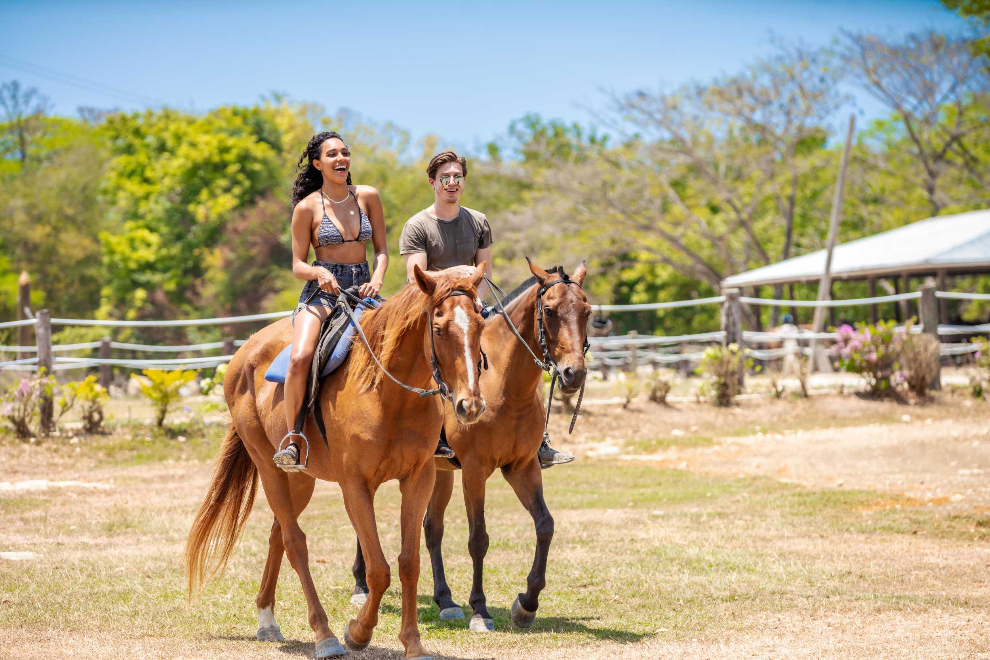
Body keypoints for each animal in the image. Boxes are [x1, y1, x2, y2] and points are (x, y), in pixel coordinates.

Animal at [185, 264, 488, 660]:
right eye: (438, 329)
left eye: (481, 324)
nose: (471, 405)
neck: (387, 393)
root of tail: (245, 351)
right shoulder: (355, 486)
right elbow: (378, 570)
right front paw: (358, 632)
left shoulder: (419, 479)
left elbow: (409, 563)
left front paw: (412, 643)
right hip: (269, 469)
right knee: (295, 542)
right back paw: (324, 635)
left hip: (301, 479)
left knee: (278, 535)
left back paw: (267, 620)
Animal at [352, 260, 588, 632]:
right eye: (549, 310)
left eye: (587, 311)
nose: (573, 374)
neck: (504, 385)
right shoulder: (475, 471)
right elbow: (478, 539)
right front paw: (480, 610)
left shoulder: (523, 468)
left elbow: (545, 525)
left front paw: (526, 604)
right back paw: (361, 587)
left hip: (439, 472)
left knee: (431, 529)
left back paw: (446, 600)